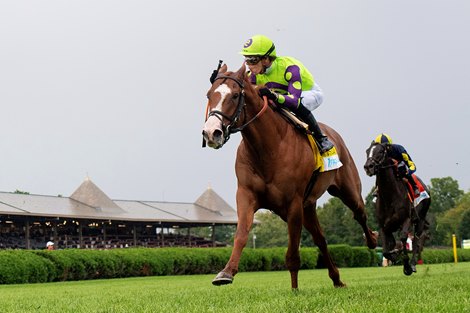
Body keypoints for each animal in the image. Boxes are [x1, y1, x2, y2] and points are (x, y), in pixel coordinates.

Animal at [202, 64, 378, 288]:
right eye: (209, 94)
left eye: (234, 95)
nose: (211, 133)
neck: (268, 149)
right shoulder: (246, 195)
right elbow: (241, 234)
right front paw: (226, 272)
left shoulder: (293, 203)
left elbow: (293, 253)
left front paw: (294, 290)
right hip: (308, 205)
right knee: (321, 238)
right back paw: (337, 279)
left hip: (347, 189)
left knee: (359, 213)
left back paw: (372, 240)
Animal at [364, 141, 430, 272]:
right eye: (367, 151)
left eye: (380, 151)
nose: (368, 166)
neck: (390, 196)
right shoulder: (384, 226)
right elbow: (386, 250)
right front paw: (393, 255)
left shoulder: (406, 219)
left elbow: (403, 239)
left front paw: (407, 265)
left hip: (420, 220)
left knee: (416, 240)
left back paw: (413, 264)